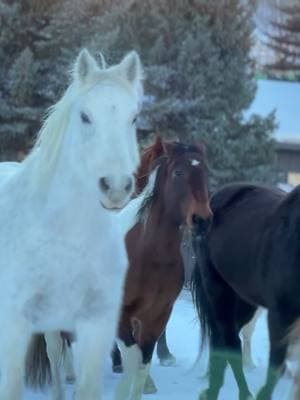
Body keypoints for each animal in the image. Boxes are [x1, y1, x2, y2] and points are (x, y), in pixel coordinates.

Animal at [191, 184, 300, 400]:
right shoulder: (280, 314)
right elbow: (276, 368)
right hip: (219, 293)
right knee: (231, 343)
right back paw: (238, 392)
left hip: (244, 303)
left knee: (222, 341)